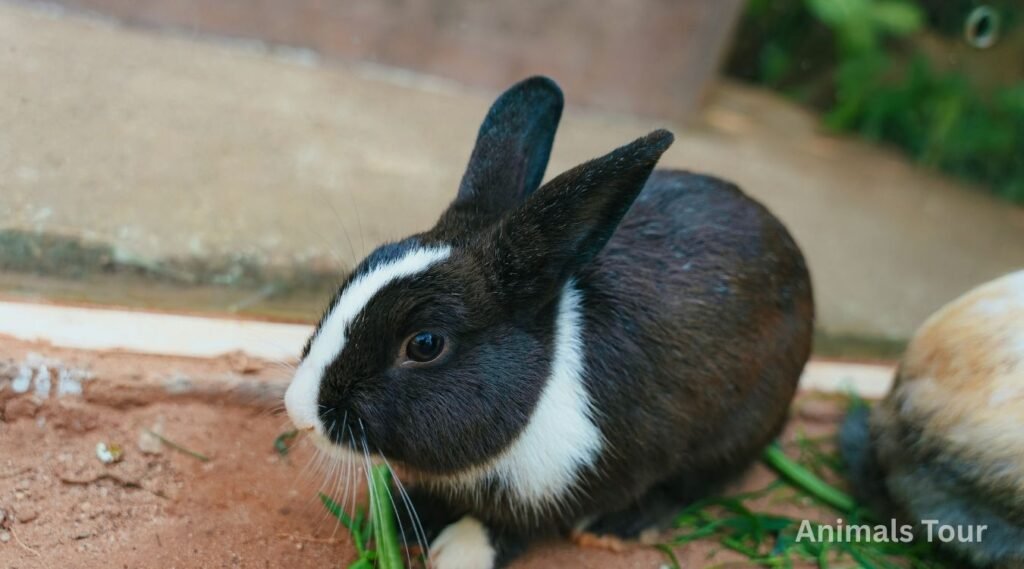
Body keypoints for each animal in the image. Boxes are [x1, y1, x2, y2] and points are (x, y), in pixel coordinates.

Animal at [284, 76, 814, 569]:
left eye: (425, 344)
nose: (299, 411)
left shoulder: (568, 480)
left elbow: (517, 524)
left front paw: (461, 550)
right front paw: (404, 519)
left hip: (735, 428)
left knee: (695, 484)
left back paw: (615, 527)